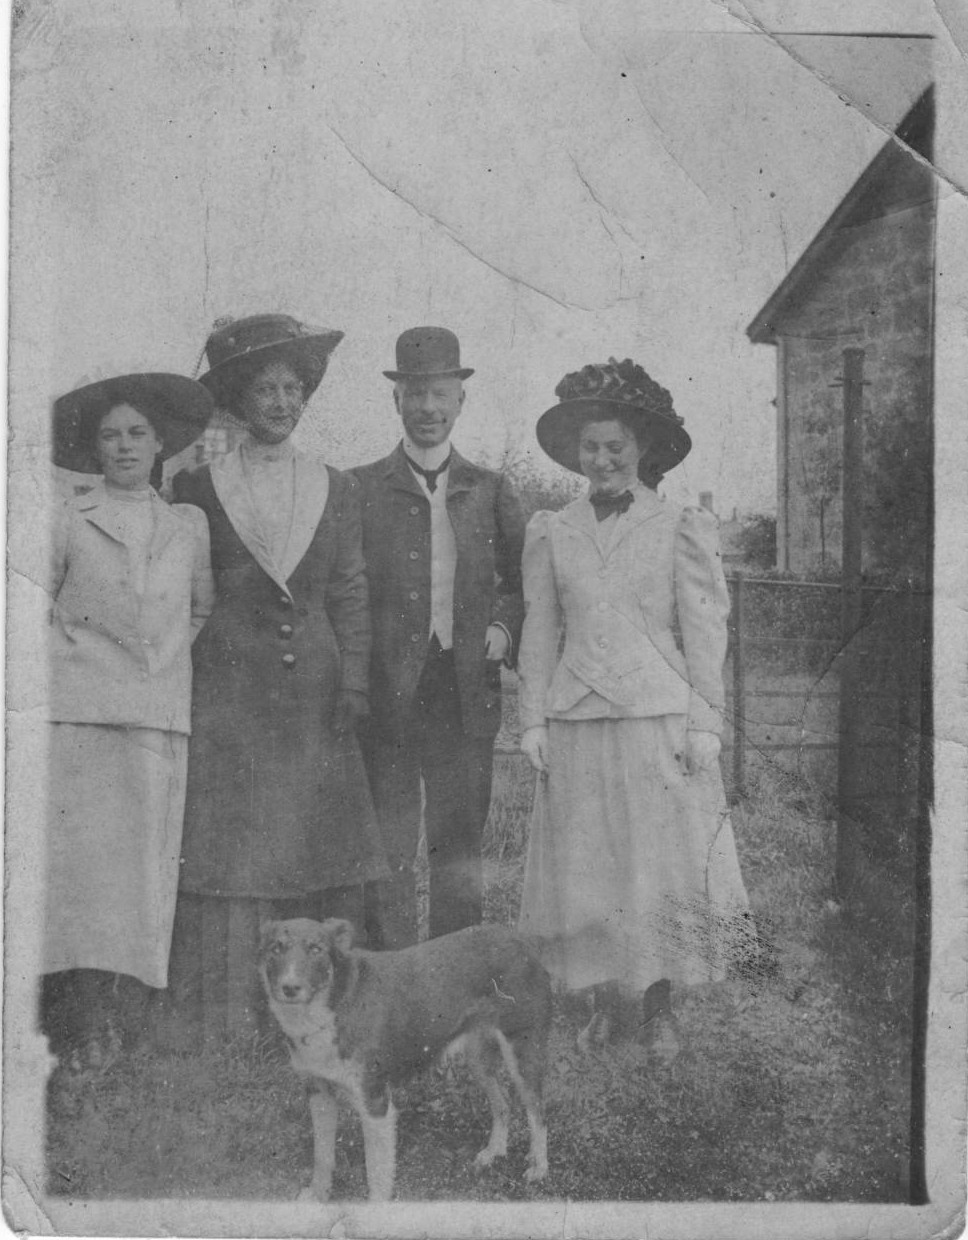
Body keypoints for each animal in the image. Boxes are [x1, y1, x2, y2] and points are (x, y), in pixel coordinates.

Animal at [260, 922, 550, 1200]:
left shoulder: (376, 1104)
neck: (336, 1004)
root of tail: (526, 939)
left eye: (316, 949)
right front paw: (318, 1195)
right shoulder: (319, 1093)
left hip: (522, 1053)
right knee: (503, 1104)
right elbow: (322, 1157)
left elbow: (377, 1172)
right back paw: (494, 1152)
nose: (290, 988)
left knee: (537, 1111)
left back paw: (539, 1167)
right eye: (276, 948)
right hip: (478, 1059)